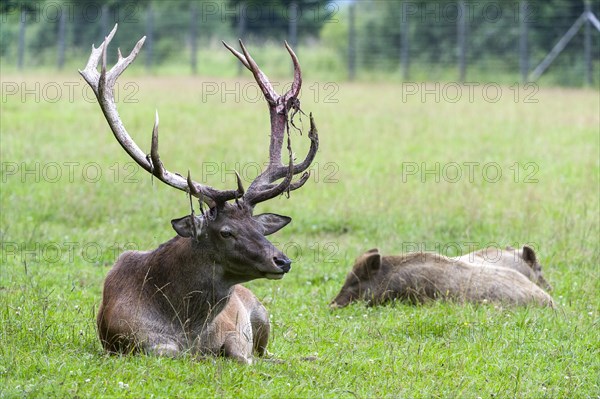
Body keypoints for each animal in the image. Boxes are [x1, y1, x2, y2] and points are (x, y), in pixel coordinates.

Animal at [81, 25, 318, 362]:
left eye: (260, 228)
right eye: (226, 232)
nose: (282, 261)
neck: (188, 328)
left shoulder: (234, 333)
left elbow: (240, 355)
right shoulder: (130, 339)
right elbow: (167, 350)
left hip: (262, 315)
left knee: (267, 352)